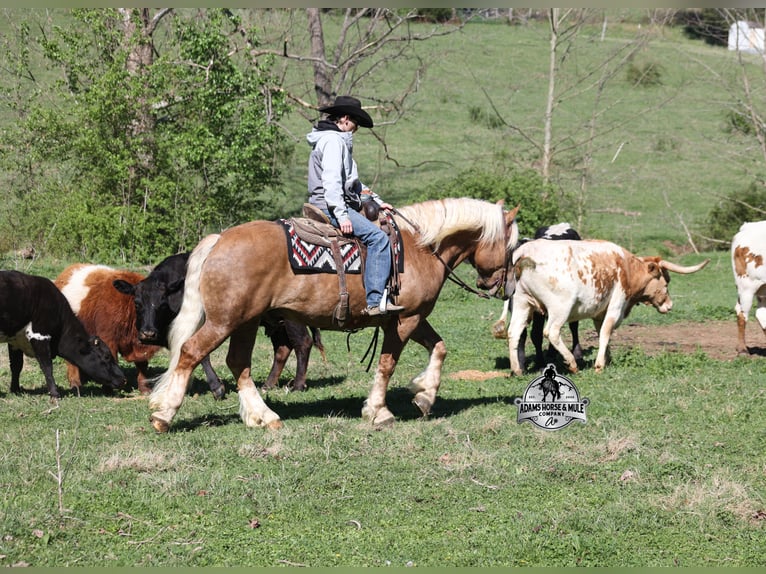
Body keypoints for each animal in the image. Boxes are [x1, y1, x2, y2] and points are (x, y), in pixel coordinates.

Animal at [148, 197, 520, 432]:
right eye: (511, 245)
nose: (503, 285)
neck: (420, 248)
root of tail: (219, 239)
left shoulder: (412, 318)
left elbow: (439, 348)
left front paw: (424, 396)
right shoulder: (405, 320)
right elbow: (388, 364)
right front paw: (379, 411)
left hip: (246, 321)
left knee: (239, 364)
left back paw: (263, 416)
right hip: (225, 321)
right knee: (192, 352)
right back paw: (164, 415)